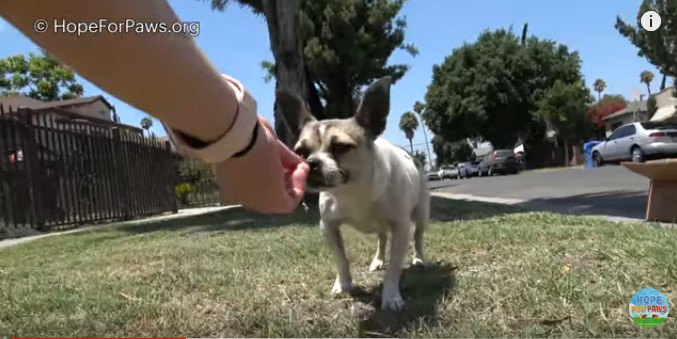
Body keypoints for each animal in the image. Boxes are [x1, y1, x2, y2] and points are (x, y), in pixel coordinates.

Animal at [278, 75, 430, 312]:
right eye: (301, 152)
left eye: (341, 147)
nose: (310, 163)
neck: (353, 189)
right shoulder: (328, 226)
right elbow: (341, 259)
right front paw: (343, 284)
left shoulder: (401, 228)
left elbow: (394, 268)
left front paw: (391, 296)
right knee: (381, 238)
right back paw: (377, 260)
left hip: (421, 213)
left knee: (418, 236)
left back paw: (419, 258)